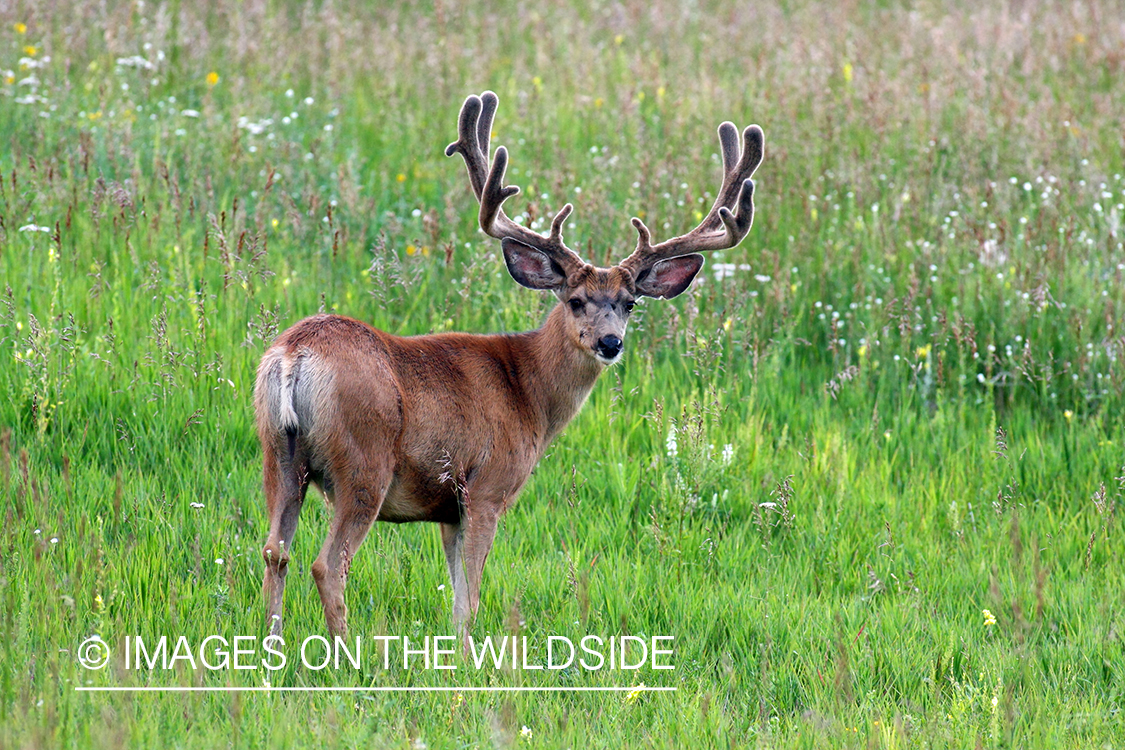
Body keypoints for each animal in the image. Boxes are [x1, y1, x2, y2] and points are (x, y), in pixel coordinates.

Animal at [255, 91, 763, 644]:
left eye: (629, 303)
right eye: (576, 301)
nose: (610, 343)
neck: (529, 392)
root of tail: (293, 354)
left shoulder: (448, 508)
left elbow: (456, 596)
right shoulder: (487, 487)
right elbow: (470, 599)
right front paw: (466, 655)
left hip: (278, 451)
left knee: (275, 550)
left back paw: (273, 647)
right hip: (364, 460)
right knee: (327, 565)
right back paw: (345, 652)